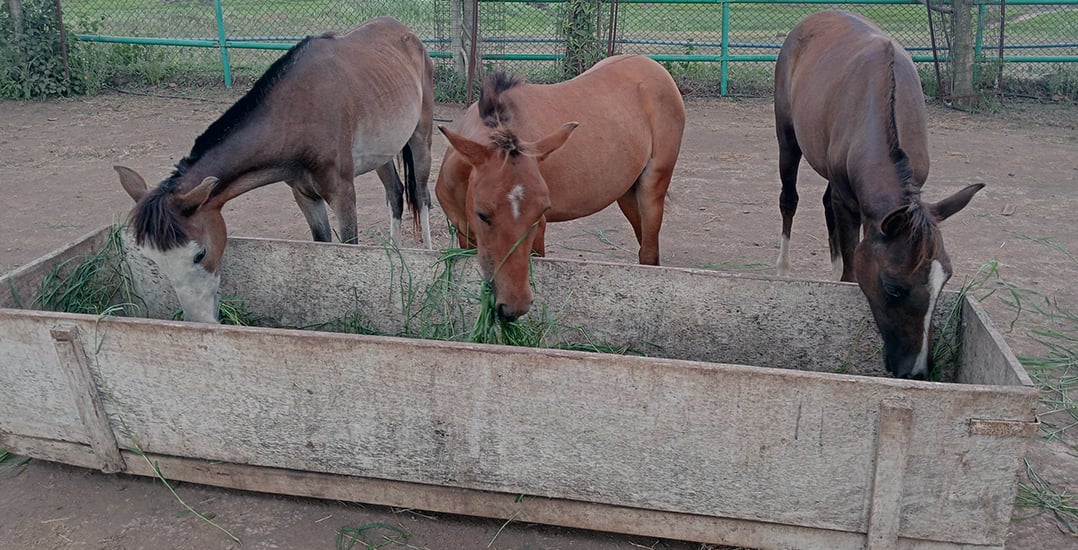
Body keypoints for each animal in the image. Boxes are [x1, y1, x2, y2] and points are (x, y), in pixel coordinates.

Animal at [114, 17, 433, 323]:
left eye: (200, 253)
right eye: (152, 259)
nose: (200, 319)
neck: (299, 110)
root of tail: (406, 33)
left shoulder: (342, 192)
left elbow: (348, 248)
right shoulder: (304, 195)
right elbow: (323, 246)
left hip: (421, 137)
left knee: (420, 195)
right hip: (383, 153)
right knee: (395, 194)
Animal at [435, 54, 681, 321]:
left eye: (540, 212)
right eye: (482, 214)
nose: (514, 305)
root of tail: (651, 65)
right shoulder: (465, 234)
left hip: (652, 188)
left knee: (649, 253)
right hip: (627, 194)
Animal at [776, 10, 987, 379]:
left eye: (945, 280)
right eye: (893, 288)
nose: (916, 372)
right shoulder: (849, 201)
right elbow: (851, 266)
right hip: (787, 139)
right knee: (789, 200)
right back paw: (783, 268)